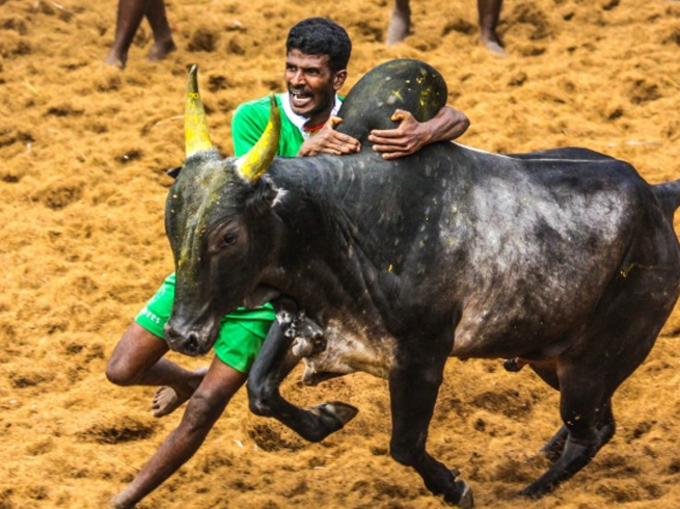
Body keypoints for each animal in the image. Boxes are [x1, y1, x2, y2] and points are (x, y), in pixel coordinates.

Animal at [163, 58, 680, 504]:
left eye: (229, 235)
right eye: (171, 223)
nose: (180, 334)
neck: (340, 220)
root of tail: (655, 195)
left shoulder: (421, 358)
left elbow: (405, 445)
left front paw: (455, 488)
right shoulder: (306, 324)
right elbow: (260, 392)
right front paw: (331, 415)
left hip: (594, 361)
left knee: (589, 433)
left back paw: (527, 493)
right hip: (551, 355)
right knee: (598, 425)